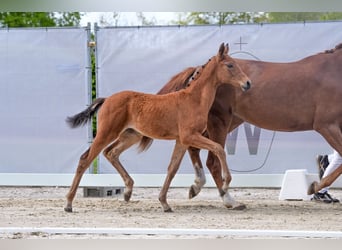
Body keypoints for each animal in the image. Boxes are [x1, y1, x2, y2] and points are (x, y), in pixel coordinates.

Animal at [65, 43, 251, 213]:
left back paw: (128, 191)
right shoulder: (189, 136)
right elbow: (219, 148)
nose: (248, 83)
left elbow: (172, 168)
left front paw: (164, 203)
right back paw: (68, 203)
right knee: (86, 159)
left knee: (111, 153)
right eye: (230, 65)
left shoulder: (182, 141)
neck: (194, 99)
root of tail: (107, 99)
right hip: (107, 133)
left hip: (130, 135)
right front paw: (226, 184)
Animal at [114, 43, 342, 207]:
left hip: (225, 123)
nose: (247, 84)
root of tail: (198, 68)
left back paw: (198, 187)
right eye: (231, 66)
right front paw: (313, 186)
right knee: (211, 160)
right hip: (220, 122)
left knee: (196, 150)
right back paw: (227, 198)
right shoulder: (327, 125)